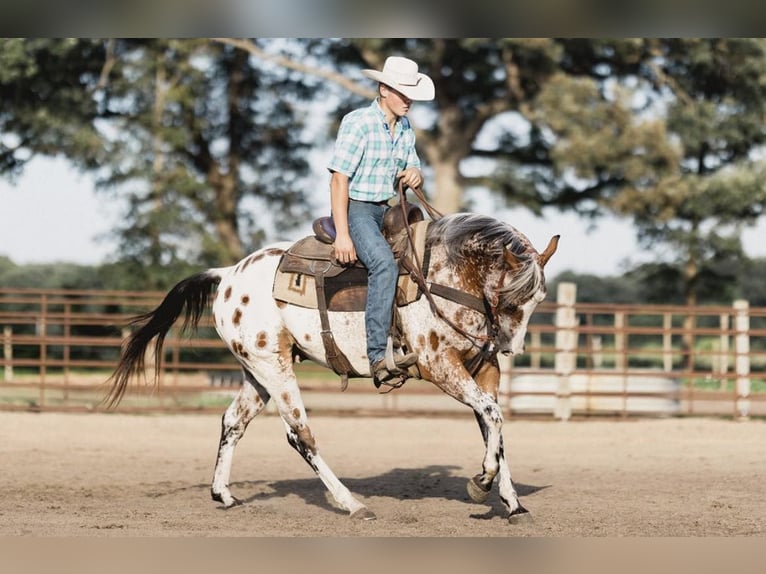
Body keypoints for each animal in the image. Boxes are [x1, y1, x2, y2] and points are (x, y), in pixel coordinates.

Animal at [105, 213, 560, 528]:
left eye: (537, 299)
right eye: (511, 298)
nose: (510, 347)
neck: (444, 278)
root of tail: (228, 274)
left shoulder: (483, 371)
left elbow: (493, 426)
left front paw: (513, 504)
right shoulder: (439, 366)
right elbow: (493, 418)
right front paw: (480, 484)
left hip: (257, 371)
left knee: (233, 422)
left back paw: (223, 494)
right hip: (275, 369)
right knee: (299, 435)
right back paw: (352, 503)